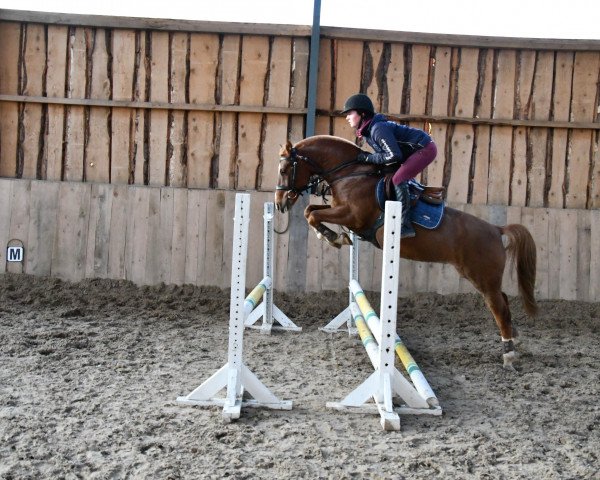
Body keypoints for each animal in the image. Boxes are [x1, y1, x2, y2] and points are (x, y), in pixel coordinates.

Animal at [276, 135, 540, 372]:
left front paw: (333, 237)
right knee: (503, 300)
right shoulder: (340, 211)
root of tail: (496, 229)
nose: (280, 203)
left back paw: (508, 355)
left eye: (285, 169)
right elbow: (311, 211)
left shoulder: (352, 216)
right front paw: (334, 236)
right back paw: (514, 337)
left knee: (498, 307)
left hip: (483, 278)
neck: (350, 174)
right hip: (479, 276)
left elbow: (313, 214)